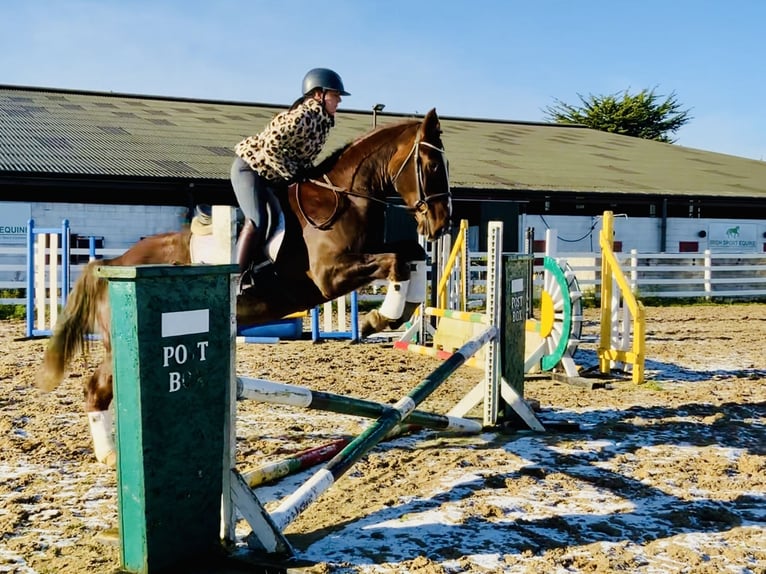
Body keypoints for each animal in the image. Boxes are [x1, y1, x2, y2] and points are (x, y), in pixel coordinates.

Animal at [36, 107, 452, 468]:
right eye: (431, 166)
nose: (442, 223)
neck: (343, 197)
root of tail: (113, 265)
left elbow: (412, 255)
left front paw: (402, 312)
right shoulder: (330, 275)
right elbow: (395, 261)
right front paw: (379, 318)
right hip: (120, 344)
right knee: (96, 388)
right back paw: (108, 454)